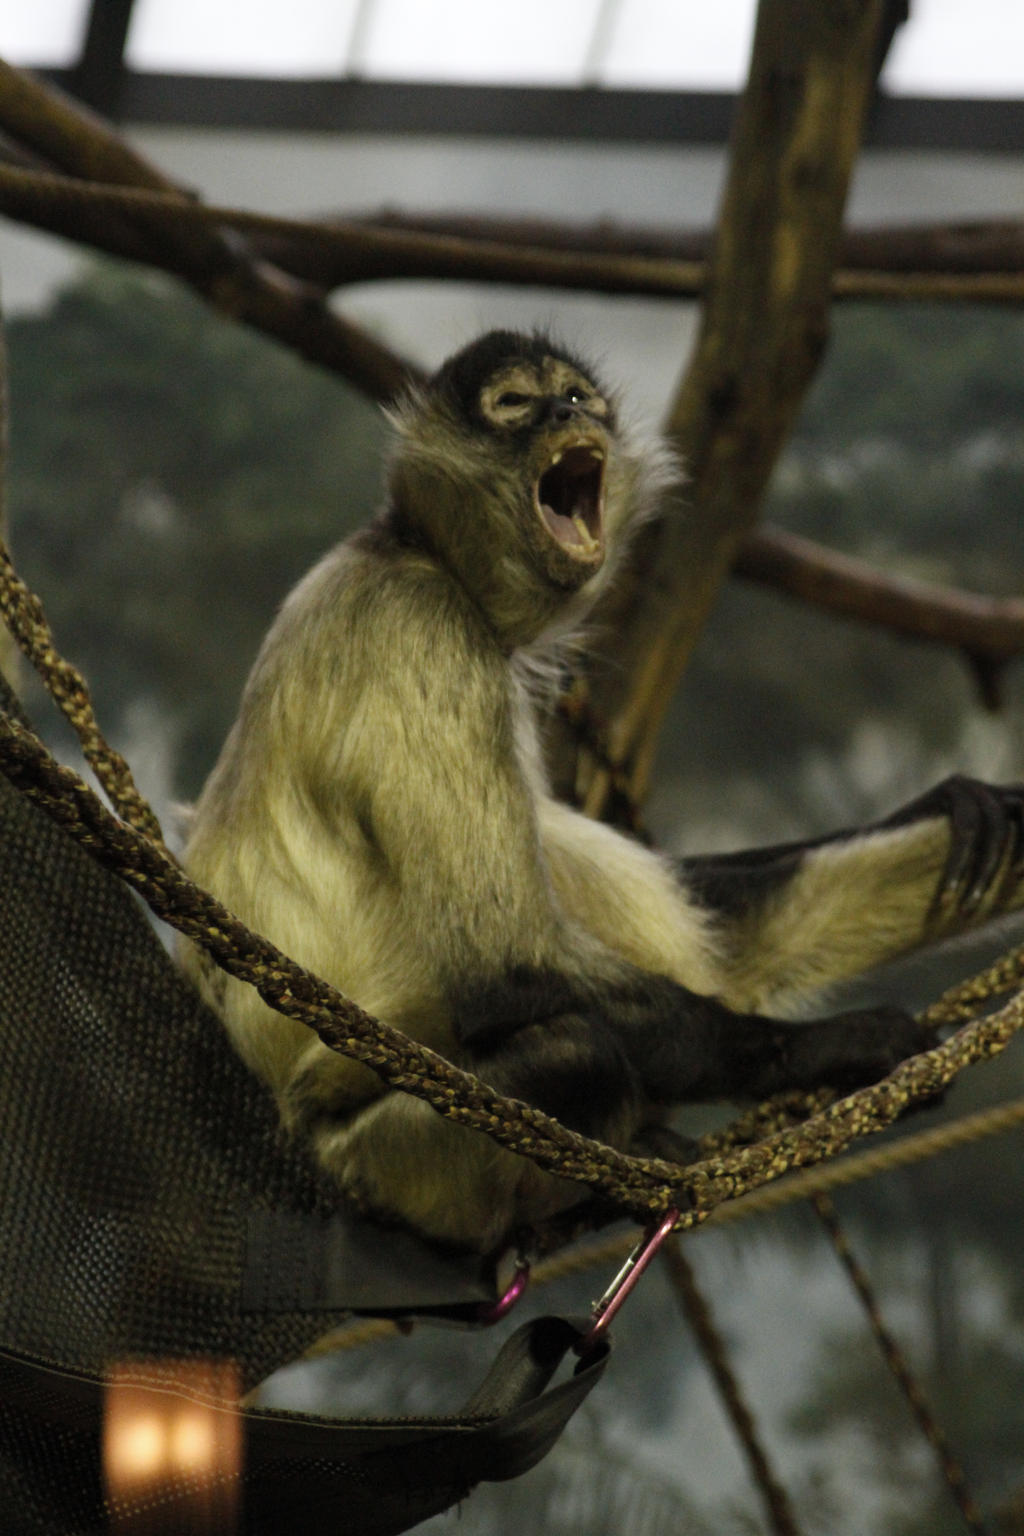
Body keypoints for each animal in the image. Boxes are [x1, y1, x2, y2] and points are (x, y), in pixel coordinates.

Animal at [181, 328, 1024, 1259]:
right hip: (394, 1162)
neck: (403, 544)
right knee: (573, 1052)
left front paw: (965, 803)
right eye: (515, 405)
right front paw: (839, 1044)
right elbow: (510, 976)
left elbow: (726, 939)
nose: (561, 415)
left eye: (577, 399)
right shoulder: (421, 627)